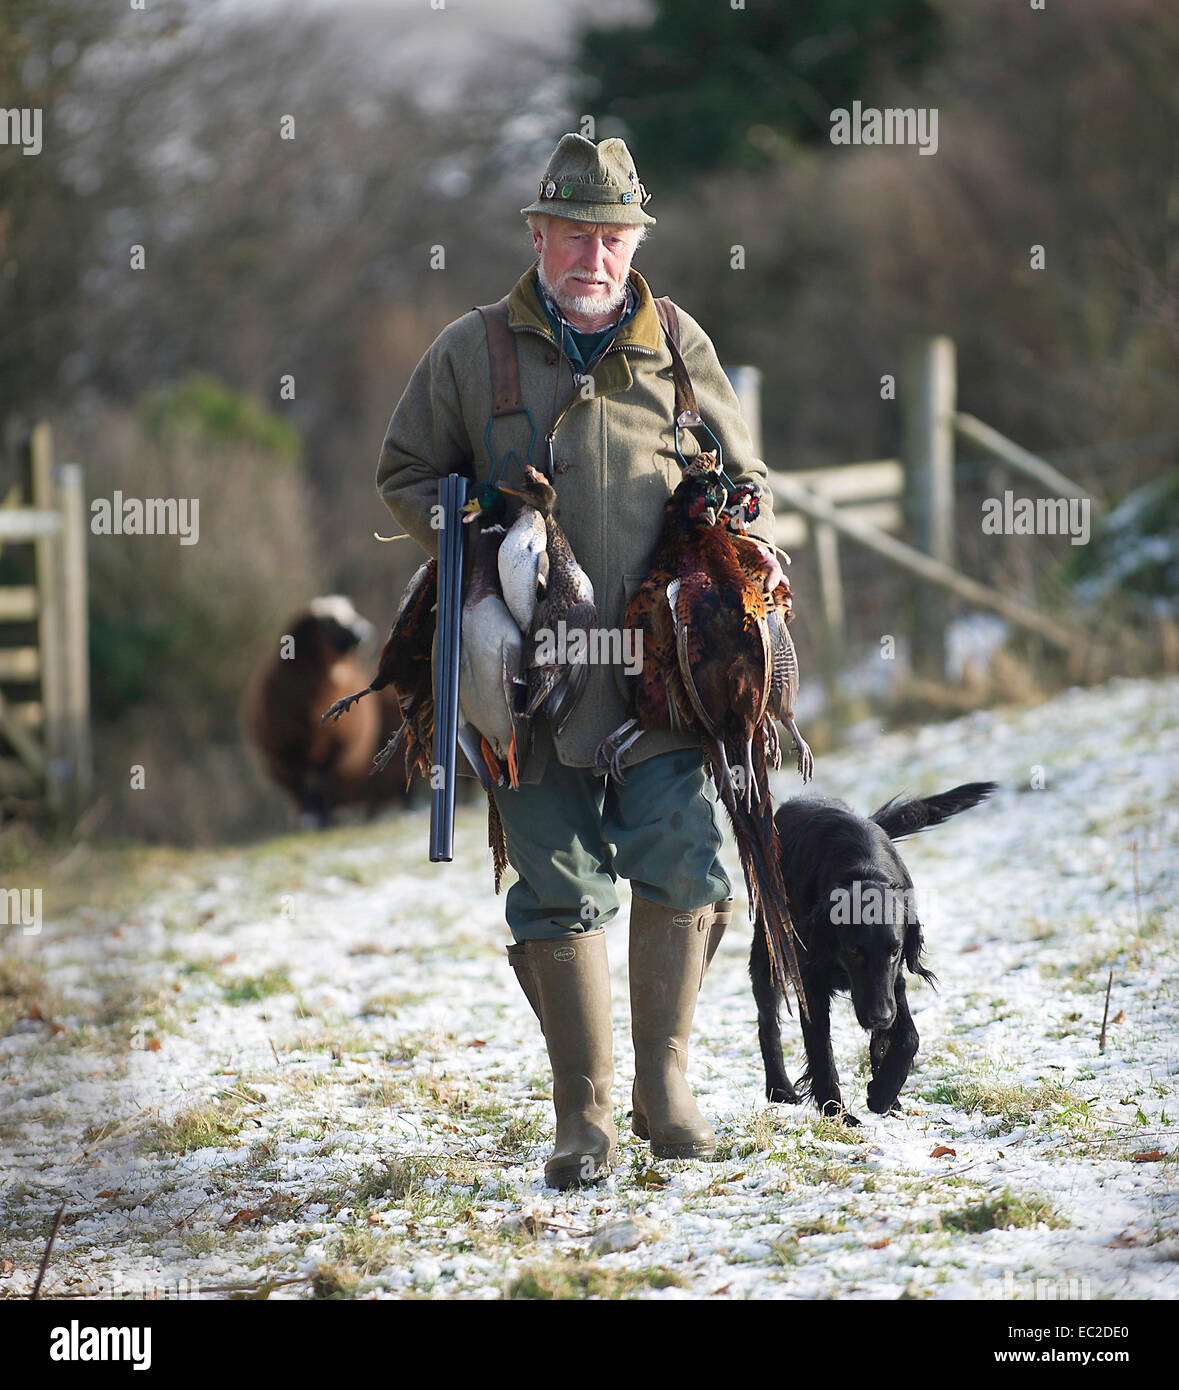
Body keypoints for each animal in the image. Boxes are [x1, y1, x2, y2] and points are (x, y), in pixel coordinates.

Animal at [241, 594, 411, 822]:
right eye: (330, 622)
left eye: (352, 612)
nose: (365, 633)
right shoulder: (289, 752)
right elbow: (303, 789)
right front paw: (313, 819)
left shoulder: (332, 751)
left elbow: (323, 786)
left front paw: (324, 817)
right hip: (279, 762)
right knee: (299, 790)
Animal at [745, 783, 995, 1128]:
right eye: (854, 950)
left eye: (895, 950)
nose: (879, 1015)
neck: (862, 869)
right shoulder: (811, 982)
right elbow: (821, 1050)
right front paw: (836, 1112)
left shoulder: (895, 980)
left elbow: (908, 1037)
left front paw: (882, 1093)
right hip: (768, 949)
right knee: (767, 1019)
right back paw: (779, 1088)